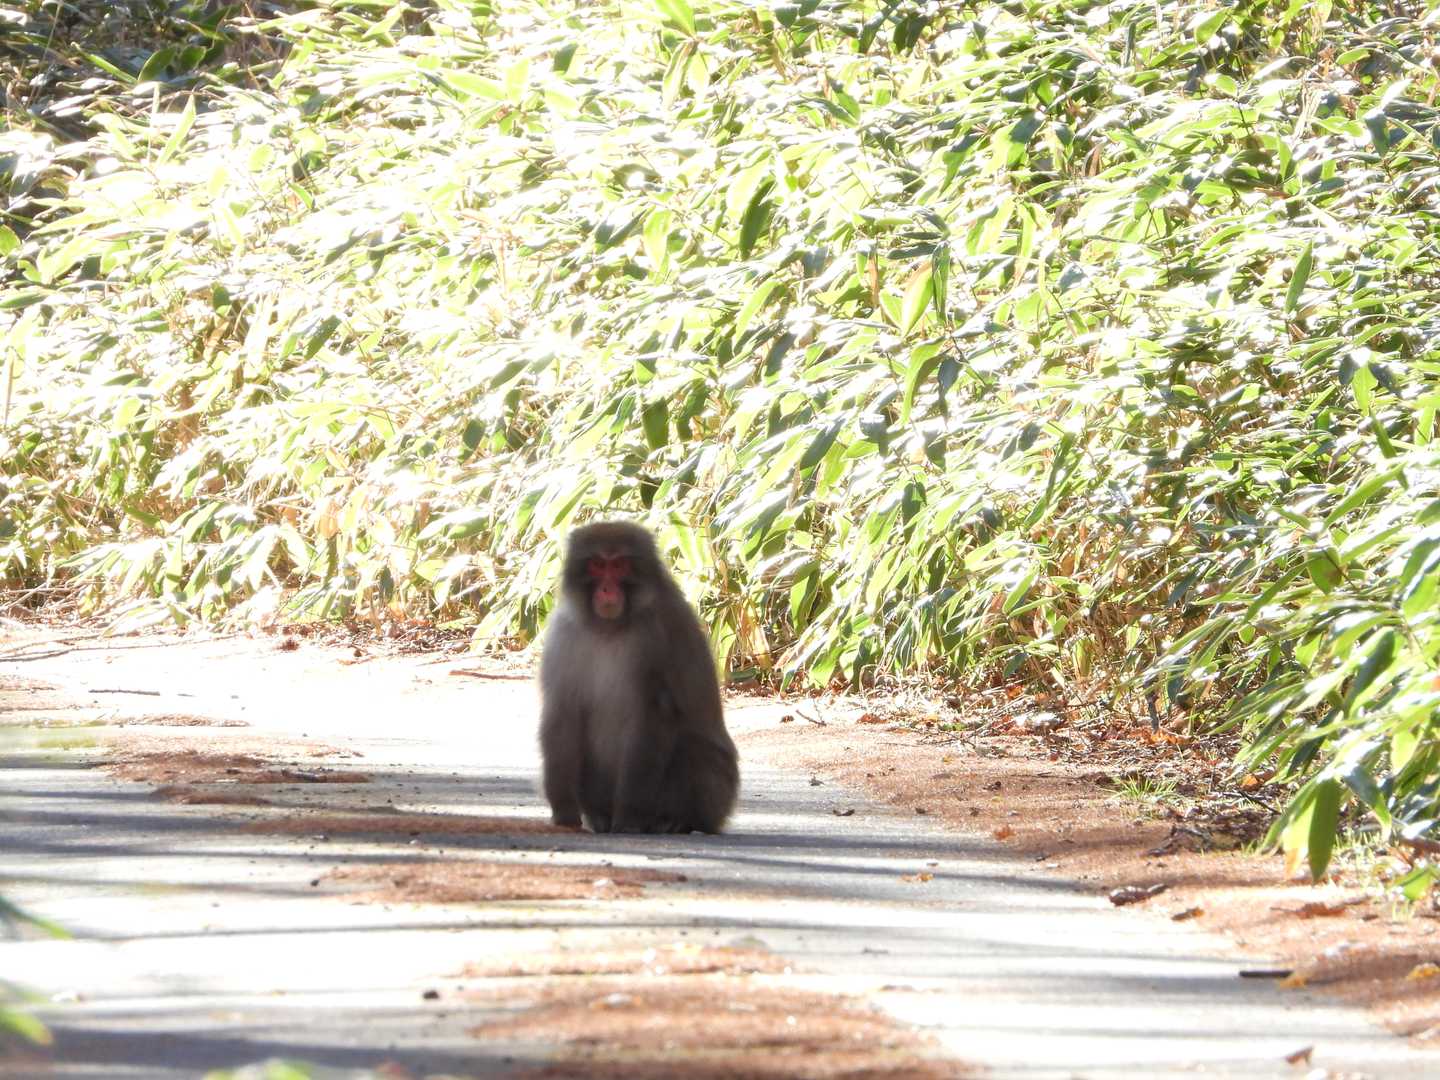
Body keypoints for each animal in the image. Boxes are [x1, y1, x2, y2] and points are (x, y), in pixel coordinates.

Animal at [538, 521, 739, 834]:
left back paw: (674, 821)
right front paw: (564, 810)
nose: (607, 589)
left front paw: (629, 817)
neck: (610, 628)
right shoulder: (564, 635)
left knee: (692, 747)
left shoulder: (660, 633)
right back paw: (601, 818)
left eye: (619, 565)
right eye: (597, 565)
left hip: (718, 796)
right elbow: (563, 713)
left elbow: (655, 715)